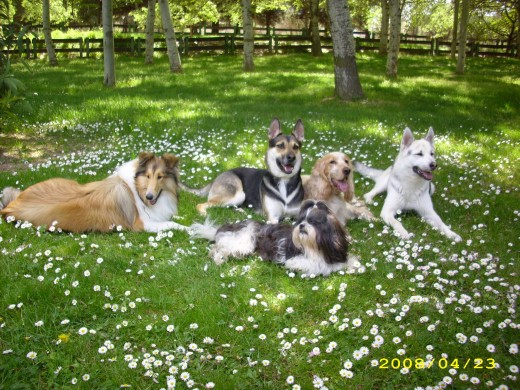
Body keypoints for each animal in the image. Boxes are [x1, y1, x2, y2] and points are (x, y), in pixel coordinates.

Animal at [1, 152, 188, 232]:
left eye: (160, 177)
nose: (149, 196)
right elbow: (172, 224)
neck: (137, 188)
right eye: (148, 176)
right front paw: (189, 229)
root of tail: (10, 206)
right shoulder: (143, 224)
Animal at [191, 201, 358, 278]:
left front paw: (354, 265)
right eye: (301, 220)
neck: (313, 246)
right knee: (217, 247)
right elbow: (316, 265)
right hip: (244, 241)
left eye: (313, 221)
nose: (302, 226)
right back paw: (218, 258)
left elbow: (346, 261)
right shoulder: (295, 260)